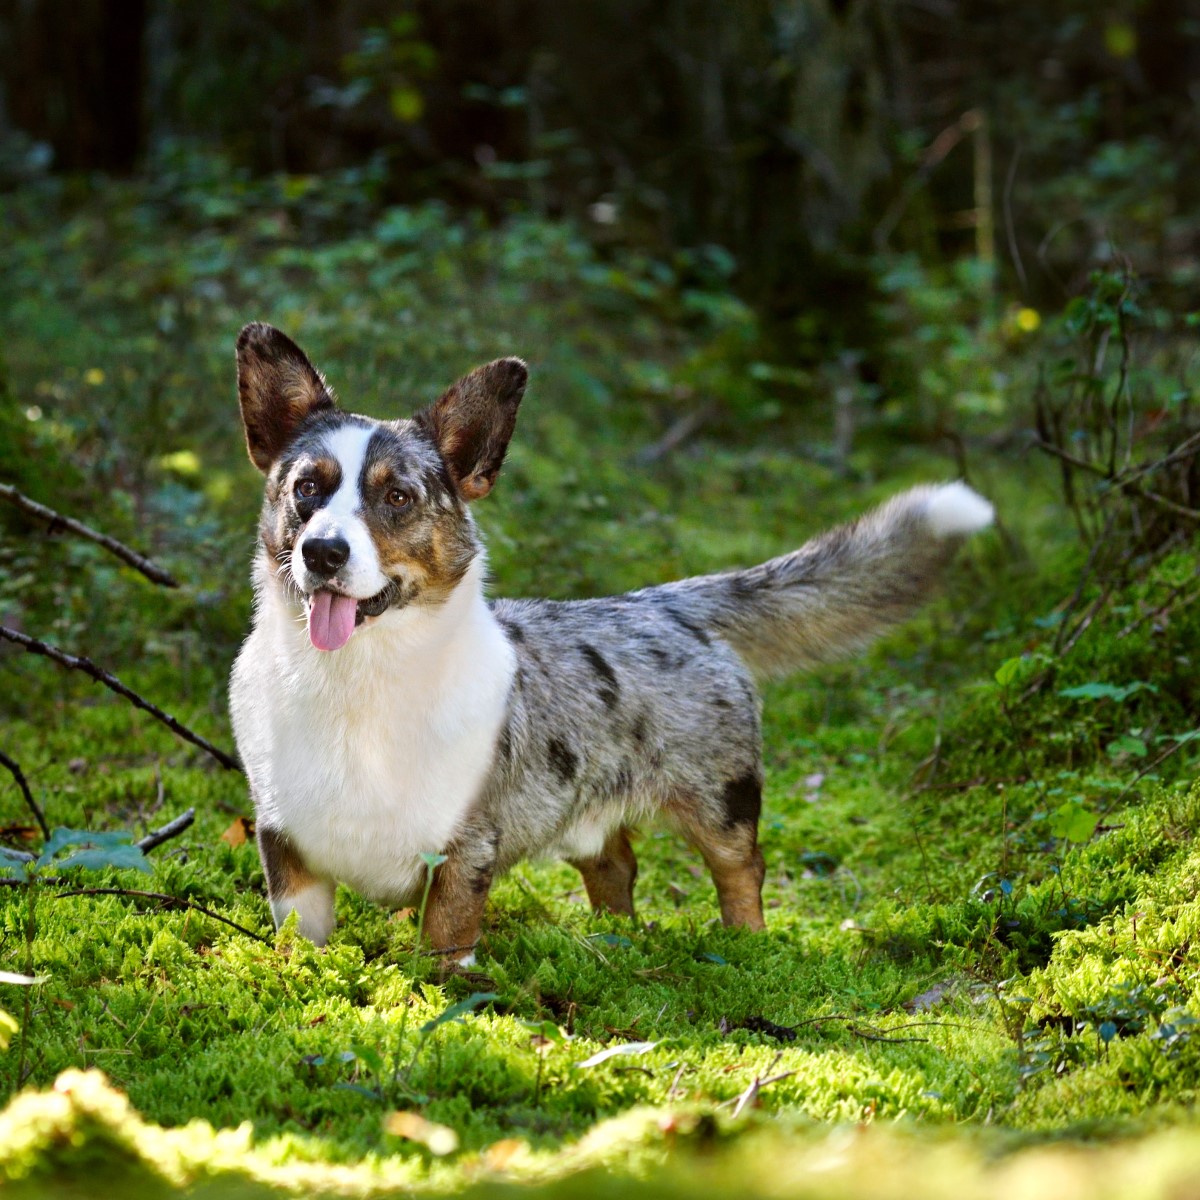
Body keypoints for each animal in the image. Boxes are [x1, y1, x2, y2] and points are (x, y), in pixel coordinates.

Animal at [229, 324, 988, 969]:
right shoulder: (283, 843)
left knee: (741, 867)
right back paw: (612, 939)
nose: (323, 553)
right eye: (306, 487)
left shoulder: (466, 845)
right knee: (615, 863)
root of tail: (668, 601)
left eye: (397, 498)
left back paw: (745, 943)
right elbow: (300, 933)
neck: (356, 680)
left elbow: (445, 939)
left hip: (721, 797)